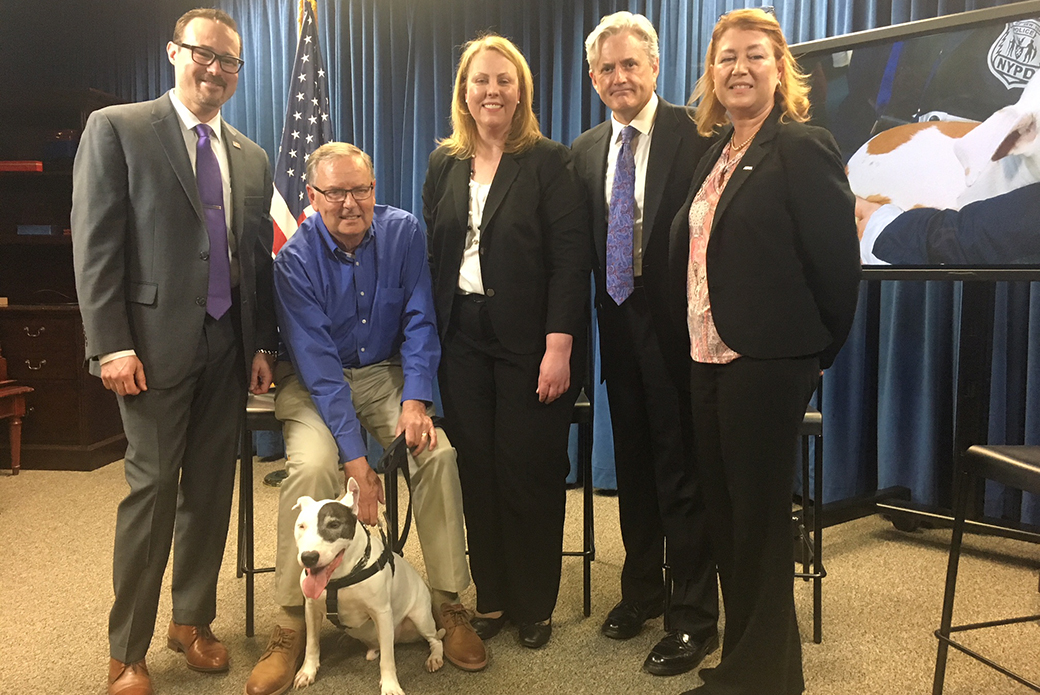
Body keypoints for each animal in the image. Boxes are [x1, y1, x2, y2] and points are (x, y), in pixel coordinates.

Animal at [291, 480, 445, 695]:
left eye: (334, 524)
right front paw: (308, 671)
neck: (339, 578)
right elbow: (311, 644)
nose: (309, 557)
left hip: (421, 618)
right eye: (301, 526)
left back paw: (435, 658)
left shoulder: (382, 613)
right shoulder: (311, 610)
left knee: (435, 640)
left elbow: (388, 659)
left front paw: (390, 686)